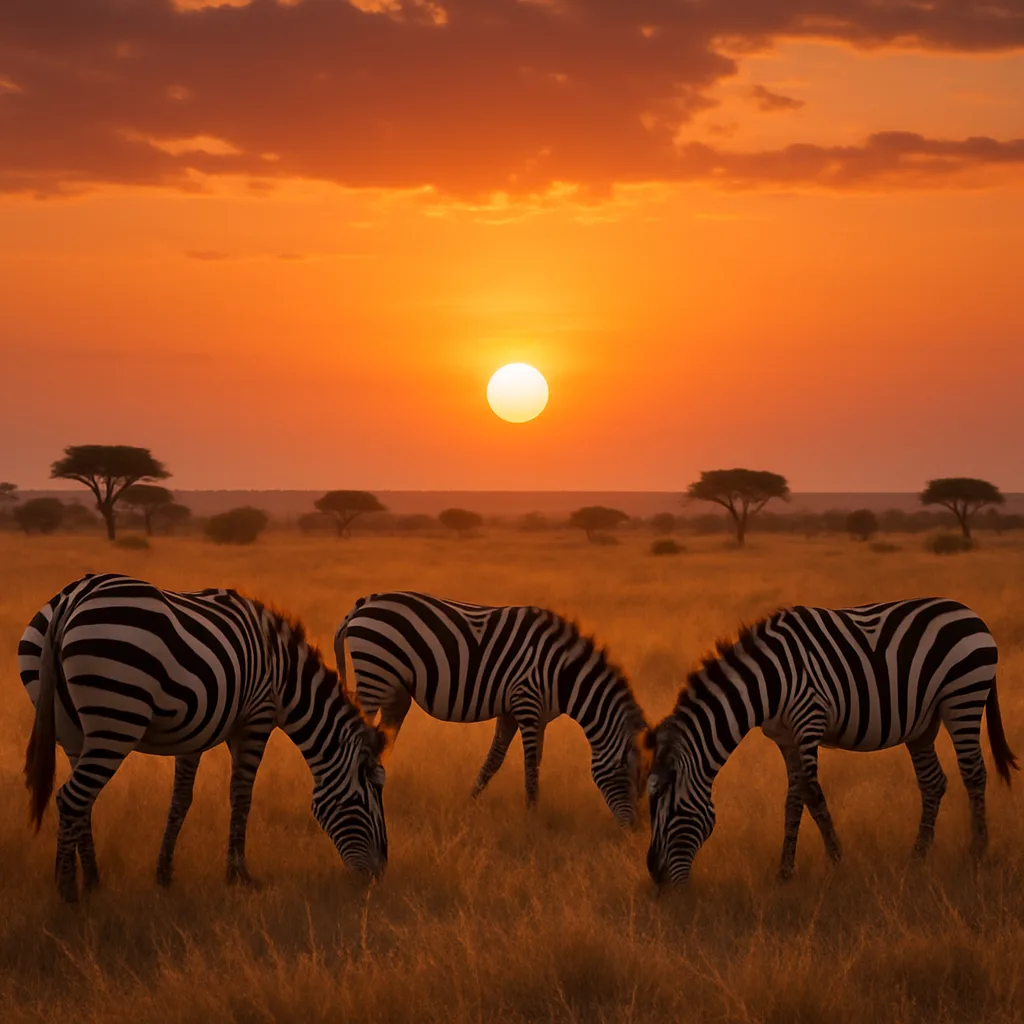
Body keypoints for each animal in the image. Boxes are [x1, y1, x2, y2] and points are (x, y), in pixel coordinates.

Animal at [19, 573, 388, 902]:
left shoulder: (193, 732)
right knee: (71, 798)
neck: (285, 676)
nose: (378, 875)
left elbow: (180, 800)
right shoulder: (255, 719)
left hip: (72, 731)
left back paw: (94, 883)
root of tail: (74, 596)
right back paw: (68, 892)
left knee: (82, 802)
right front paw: (239, 875)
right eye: (367, 798)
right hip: (116, 719)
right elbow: (241, 796)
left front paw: (164, 874)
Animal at [334, 591, 648, 825]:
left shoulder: (519, 713)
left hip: (395, 692)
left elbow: (496, 759)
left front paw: (469, 802)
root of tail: (366, 602)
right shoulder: (526, 702)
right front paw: (532, 816)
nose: (633, 830)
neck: (562, 672)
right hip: (375, 675)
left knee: (382, 740)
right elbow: (530, 765)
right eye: (628, 775)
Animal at [645, 598, 1018, 885]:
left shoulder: (808, 719)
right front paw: (785, 871)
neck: (768, 682)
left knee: (973, 773)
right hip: (923, 723)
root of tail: (970, 612)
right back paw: (918, 856)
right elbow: (793, 799)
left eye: (672, 812)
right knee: (933, 782)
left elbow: (812, 794)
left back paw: (976, 854)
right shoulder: (784, 738)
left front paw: (837, 861)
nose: (656, 877)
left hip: (963, 696)